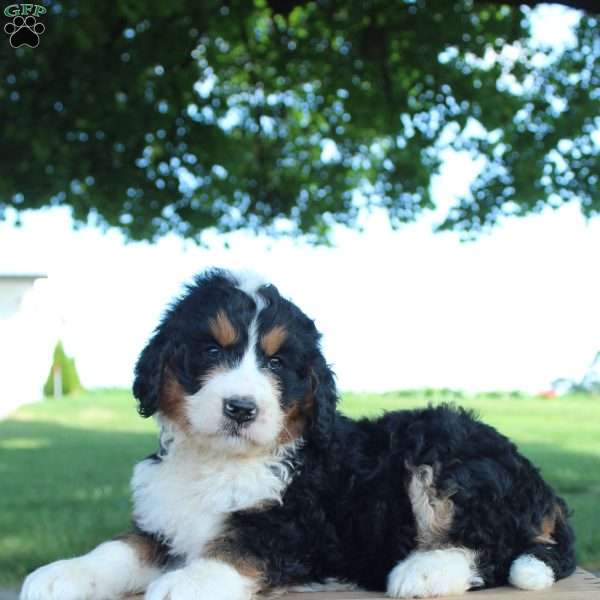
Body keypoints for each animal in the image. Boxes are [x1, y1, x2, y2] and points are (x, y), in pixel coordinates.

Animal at [21, 270, 576, 600]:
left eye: (276, 363)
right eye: (211, 351)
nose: (241, 408)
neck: (220, 461)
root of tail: (543, 489)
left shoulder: (296, 526)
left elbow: (237, 547)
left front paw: (187, 583)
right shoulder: (161, 523)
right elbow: (118, 549)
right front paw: (61, 574)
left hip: (445, 452)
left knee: (493, 546)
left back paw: (425, 571)